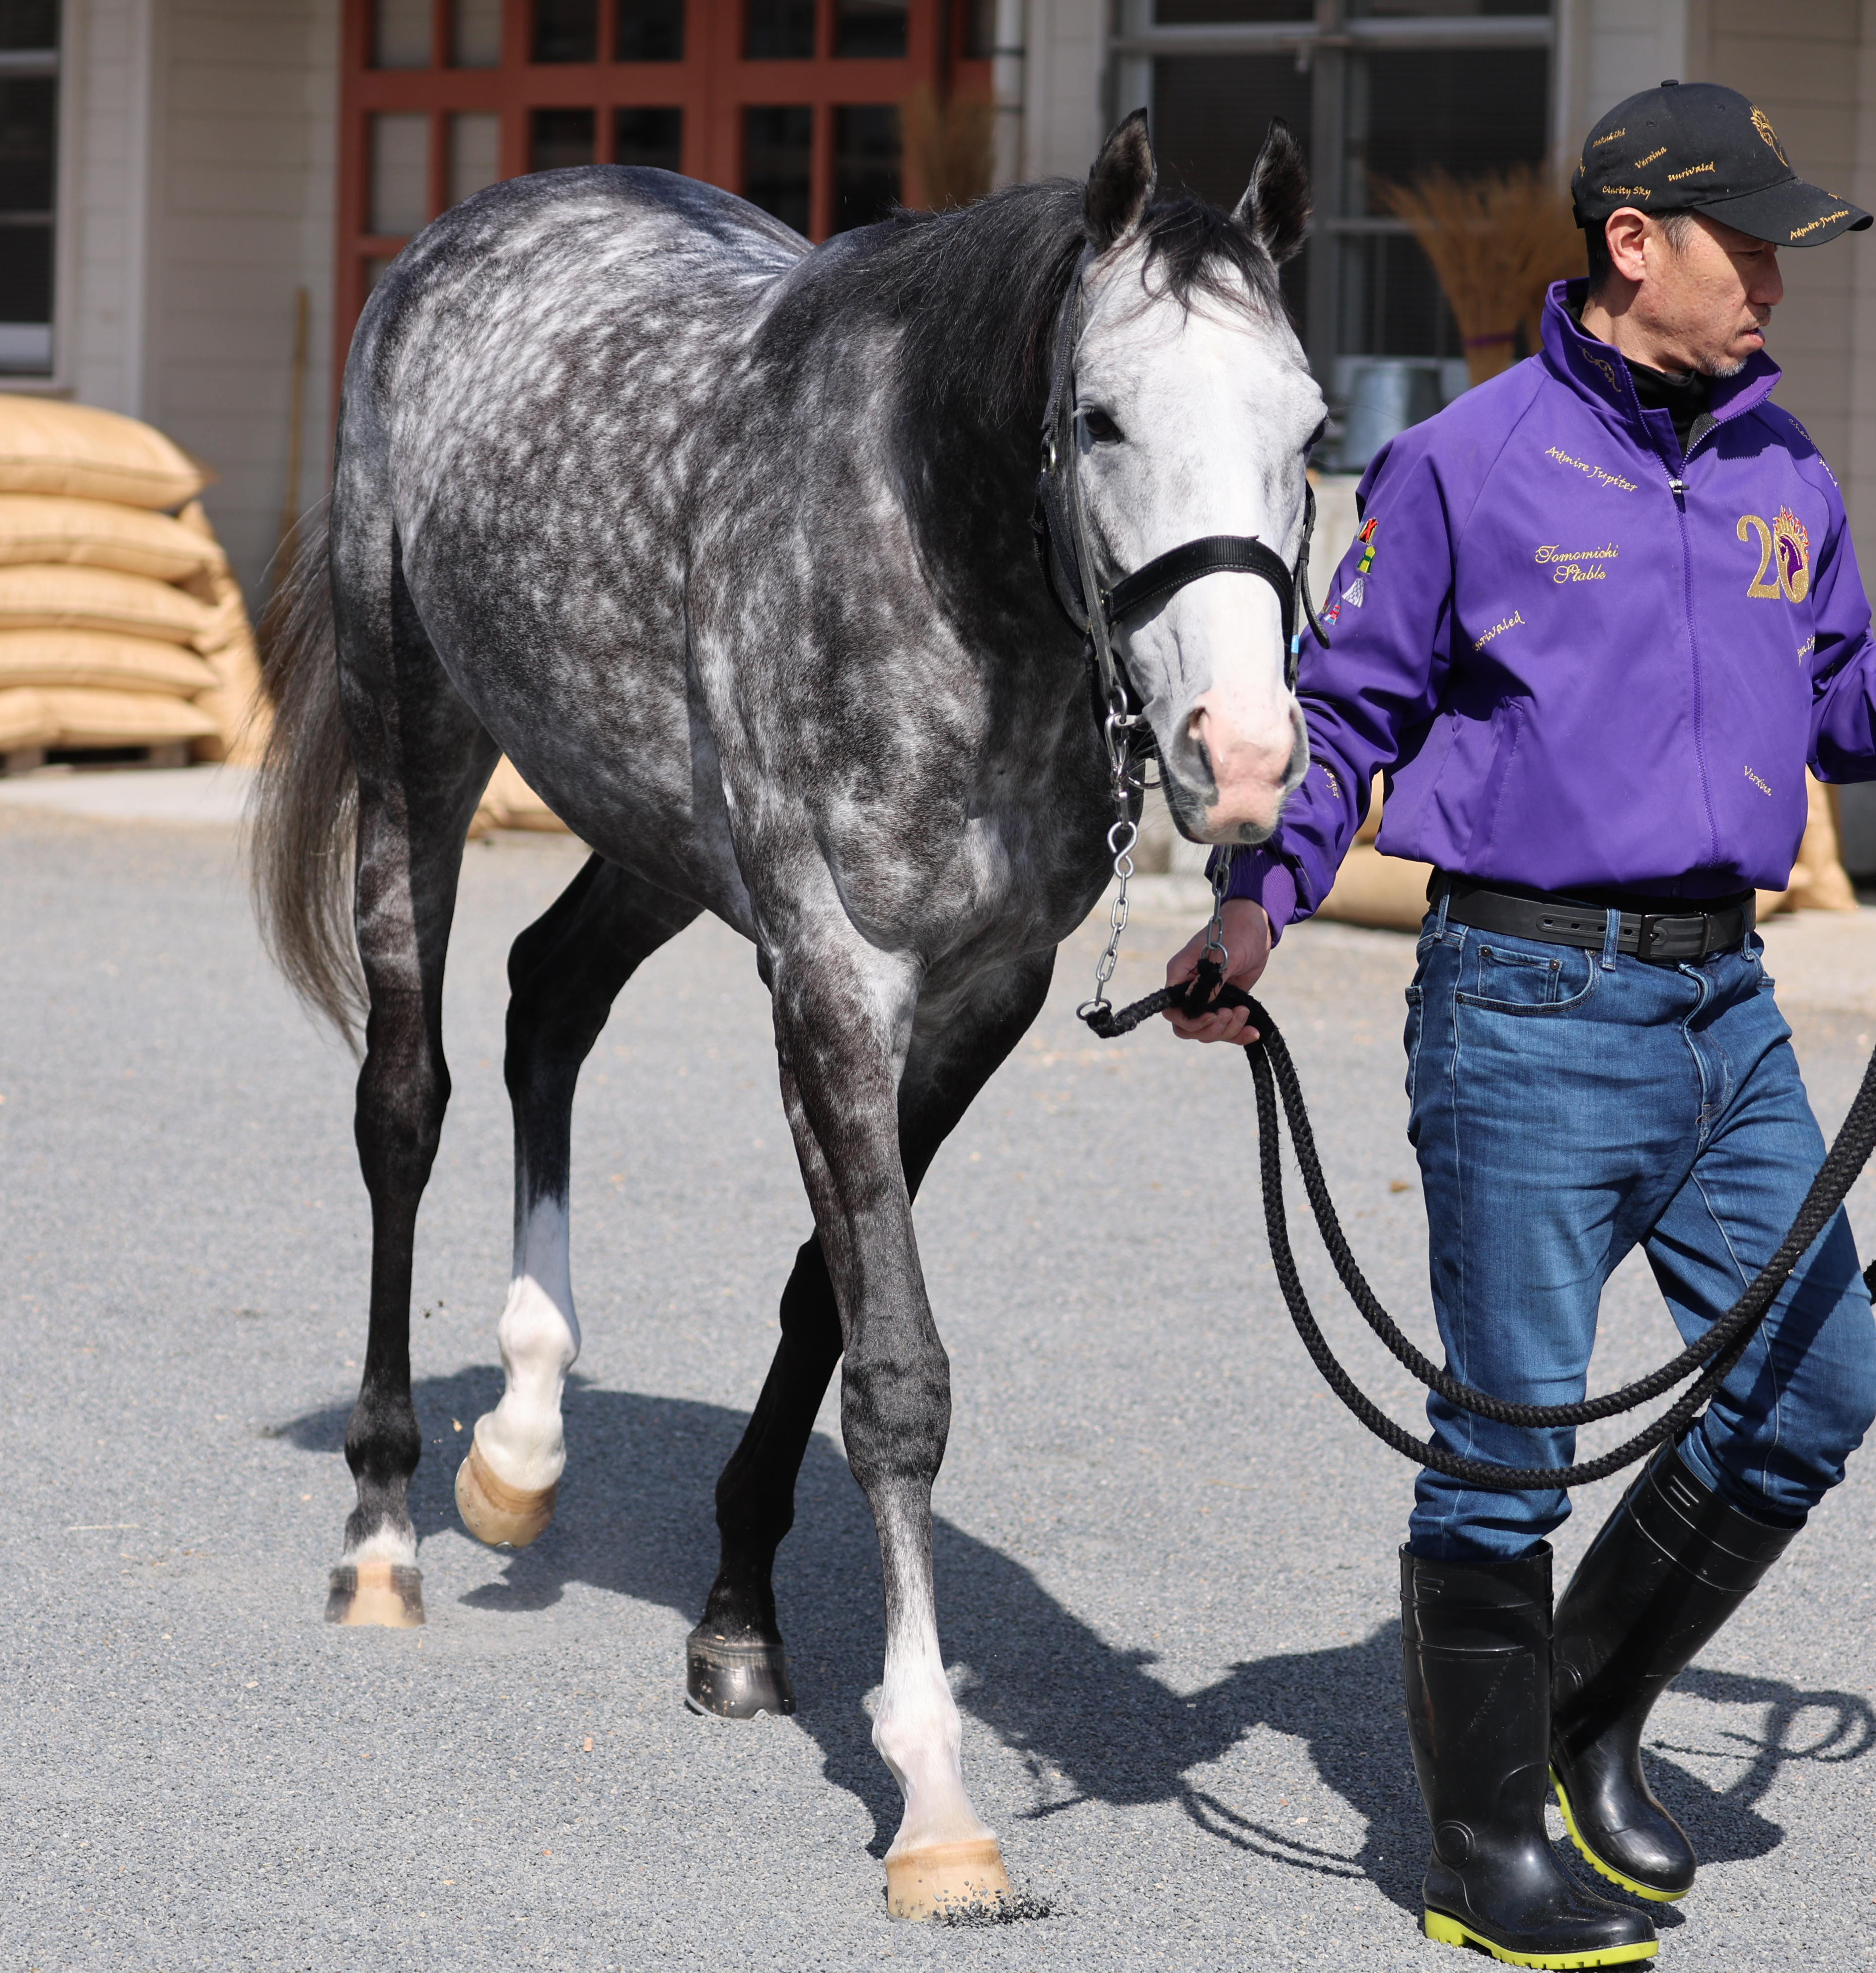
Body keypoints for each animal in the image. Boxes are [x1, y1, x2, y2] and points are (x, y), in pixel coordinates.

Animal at [252, 110, 1323, 1918]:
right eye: (1104, 416)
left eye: (1309, 428)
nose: (1239, 757)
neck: (934, 556)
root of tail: (493, 216)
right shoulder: (831, 971)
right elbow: (893, 1370)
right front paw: (937, 1800)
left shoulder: (974, 998)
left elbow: (827, 1300)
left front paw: (738, 1623)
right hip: (424, 749)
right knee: (404, 1102)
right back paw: (385, 1531)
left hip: (656, 834)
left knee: (550, 1000)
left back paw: (523, 1442)